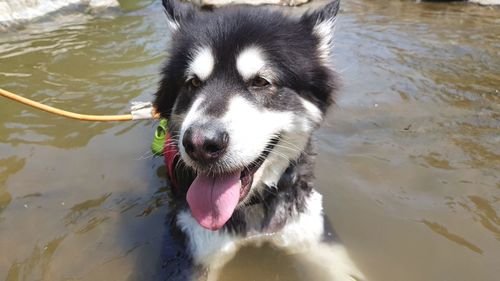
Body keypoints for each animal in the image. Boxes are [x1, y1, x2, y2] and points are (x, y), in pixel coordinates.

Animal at [153, 1, 364, 278]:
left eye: (261, 82)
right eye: (193, 82)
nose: (200, 144)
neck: (253, 214)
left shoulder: (312, 231)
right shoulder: (192, 242)